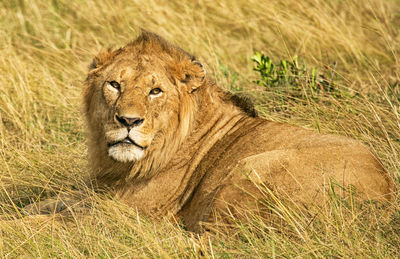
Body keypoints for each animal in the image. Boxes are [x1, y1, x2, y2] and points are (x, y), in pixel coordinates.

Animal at [24, 31, 394, 234]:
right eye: (114, 84)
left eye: (155, 91)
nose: (128, 121)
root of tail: (383, 200)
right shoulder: (100, 192)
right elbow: (51, 202)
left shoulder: (118, 214)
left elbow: (48, 223)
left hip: (252, 167)